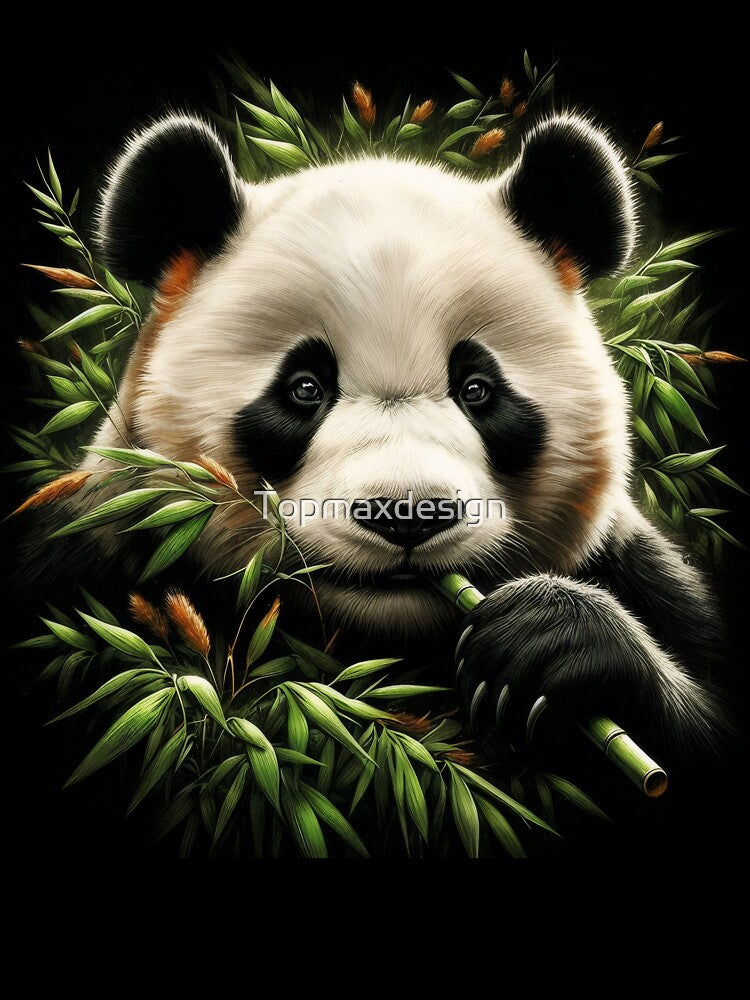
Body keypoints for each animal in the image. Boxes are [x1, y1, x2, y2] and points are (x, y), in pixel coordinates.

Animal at [38, 111, 726, 760]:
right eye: (305, 388)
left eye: (477, 389)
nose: (408, 514)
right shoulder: (98, 554)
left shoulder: (642, 576)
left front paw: (549, 640)